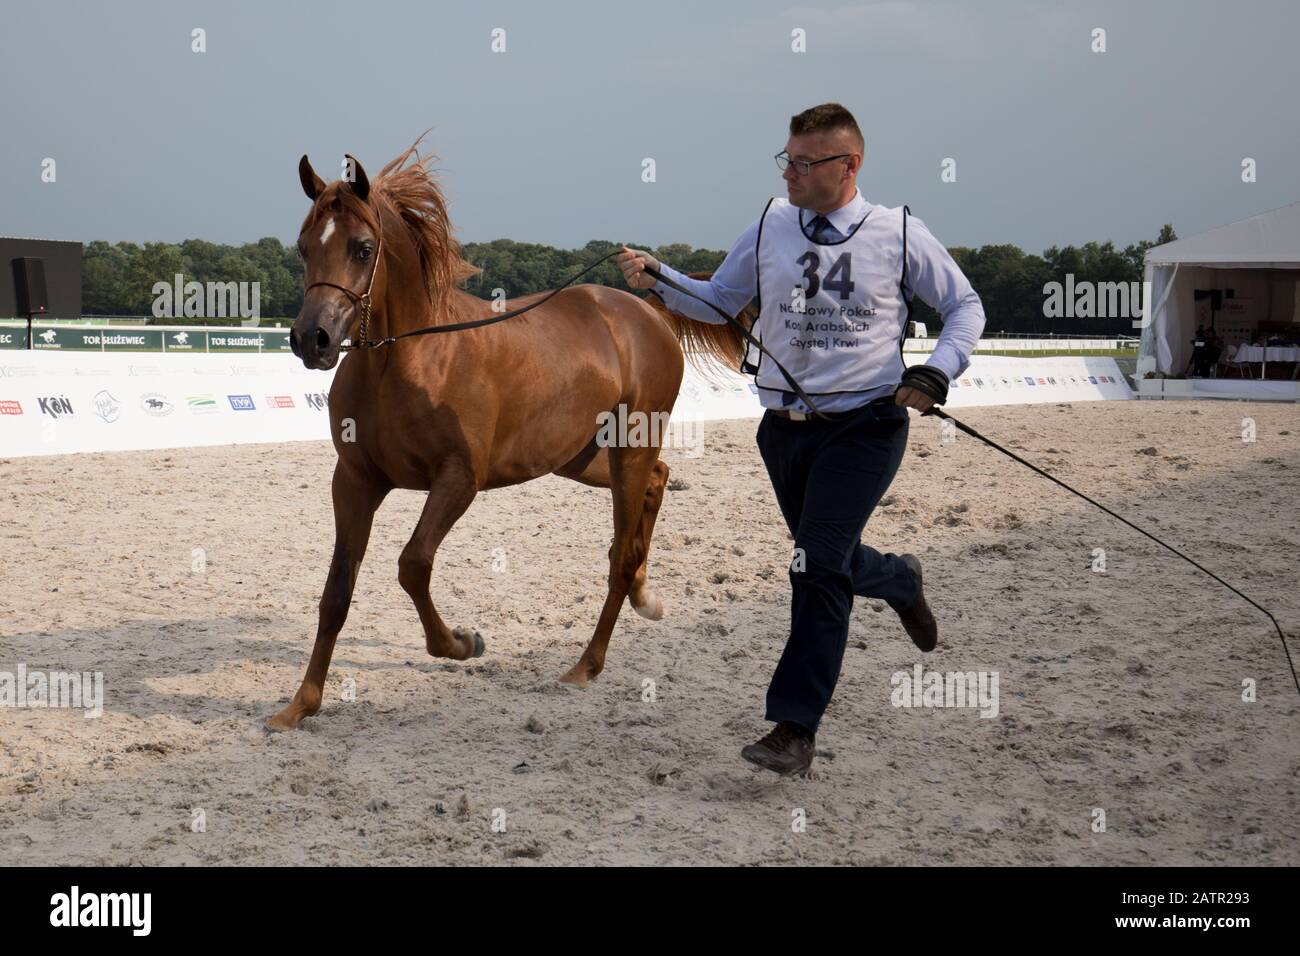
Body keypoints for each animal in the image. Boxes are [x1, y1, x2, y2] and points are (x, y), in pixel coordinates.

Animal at [266, 139, 753, 731]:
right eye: (303, 247)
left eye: (362, 248)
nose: (310, 339)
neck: (409, 359)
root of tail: (645, 311)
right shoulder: (356, 480)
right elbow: (336, 592)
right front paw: (300, 704)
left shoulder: (459, 480)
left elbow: (413, 565)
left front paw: (461, 642)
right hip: (581, 458)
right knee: (658, 483)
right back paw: (645, 595)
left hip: (629, 448)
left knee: (620, 551)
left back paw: (586, 664)